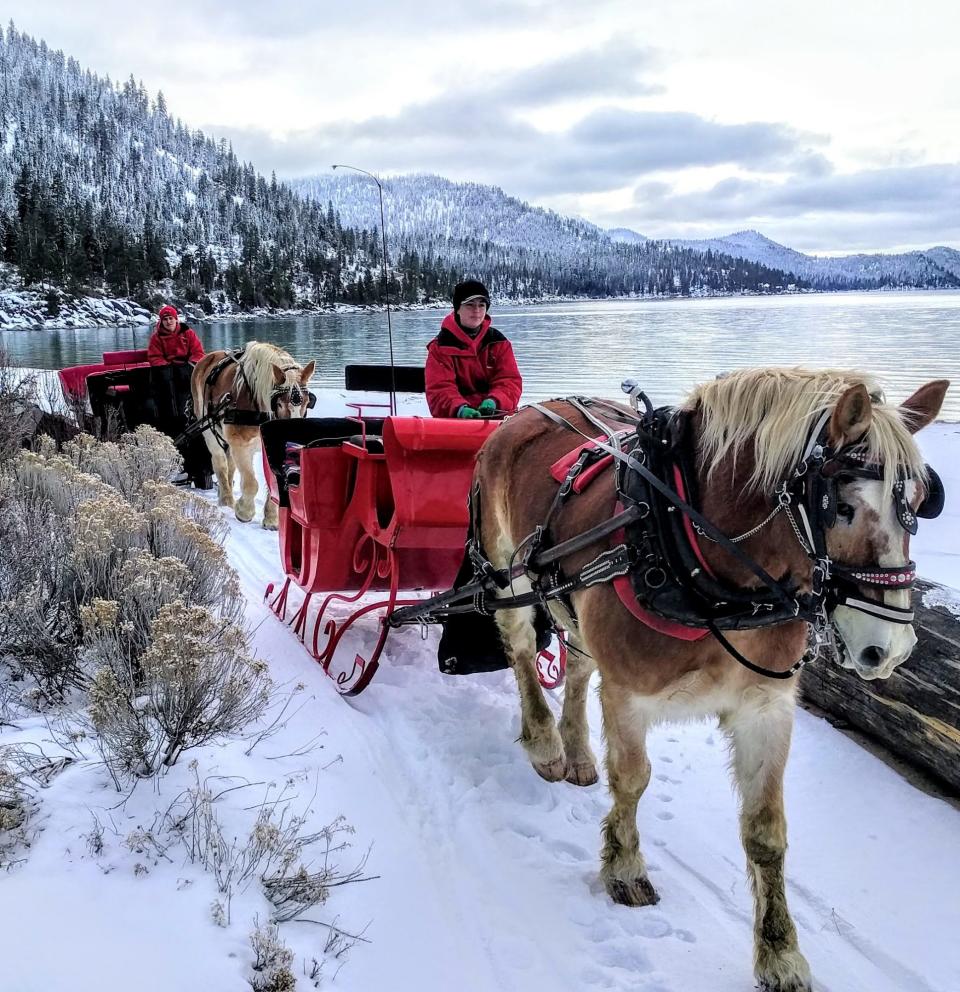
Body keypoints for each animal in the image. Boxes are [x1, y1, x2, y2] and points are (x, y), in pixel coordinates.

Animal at [190, 340, 316, 528]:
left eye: (307, 402)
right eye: (279, 404)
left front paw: (271, 519)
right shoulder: (240, 444)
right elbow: (251, 483)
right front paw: (244, 512)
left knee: (230, 466)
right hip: (208, 429)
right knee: (220, 464)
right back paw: (227, 500)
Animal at [472, 370, 944, 992]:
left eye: (917, 503)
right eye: (841, 507)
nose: (888, 650)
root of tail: (533, 410)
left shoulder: (766, 708)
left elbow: (765, 831)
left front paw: (780, 952)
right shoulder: (628, 696)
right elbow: (633, 782)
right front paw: (624, 867)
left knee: (576, 663)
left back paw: (576, 751)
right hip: (509, 571)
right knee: (524, 649)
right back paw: (547, 743)